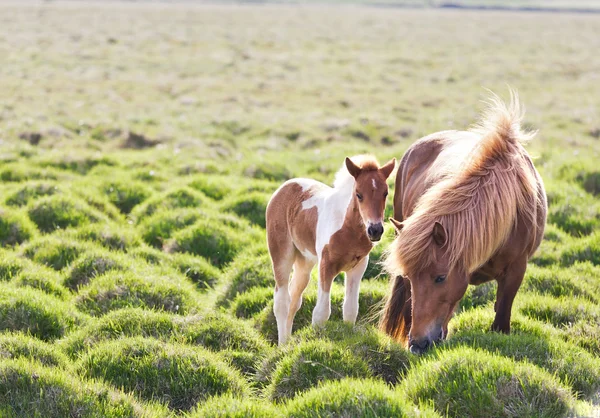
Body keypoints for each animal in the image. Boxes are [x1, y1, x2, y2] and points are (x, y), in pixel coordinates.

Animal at [266, 155, 394, 344]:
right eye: (359, 194)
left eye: (385, 193)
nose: (375, 230)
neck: (349, 228)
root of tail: (284, 187)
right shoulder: (326, 265)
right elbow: (321, 313)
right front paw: (316, 341)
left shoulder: (358, 266)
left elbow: (350, 309)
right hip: (282, 255)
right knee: (282, 301)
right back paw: (282, 345)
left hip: (305, 261)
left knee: (294, 299)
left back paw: (288, 344)